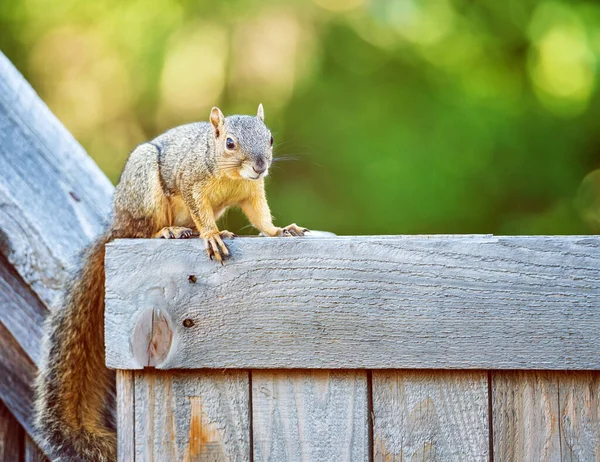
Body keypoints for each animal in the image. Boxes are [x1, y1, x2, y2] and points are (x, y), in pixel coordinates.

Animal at [34, 104, 304, 462]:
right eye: (230, 143)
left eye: (270, 138)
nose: (260, 166)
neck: (230, 176)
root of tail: (117, 220)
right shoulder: (192, 183)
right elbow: (201, 212)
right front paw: (212, 235)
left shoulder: (252, 192)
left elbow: (261, 217)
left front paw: (280, 231)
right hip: (145, 191)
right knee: (144, 231)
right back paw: (170, 231)